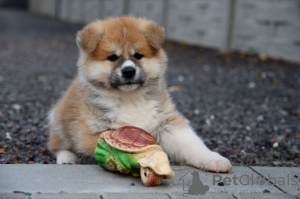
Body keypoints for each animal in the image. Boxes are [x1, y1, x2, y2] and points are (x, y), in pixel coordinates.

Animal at [48, 16, 232, 173]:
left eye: (138, 55)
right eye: (112, 57)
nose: (129, 71)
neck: (130, 98)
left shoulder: (167, 123)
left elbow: (192, 145)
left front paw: (213, 159)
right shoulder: (91, 132)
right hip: (61, 123)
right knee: (56, 145)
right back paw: (67, 158)